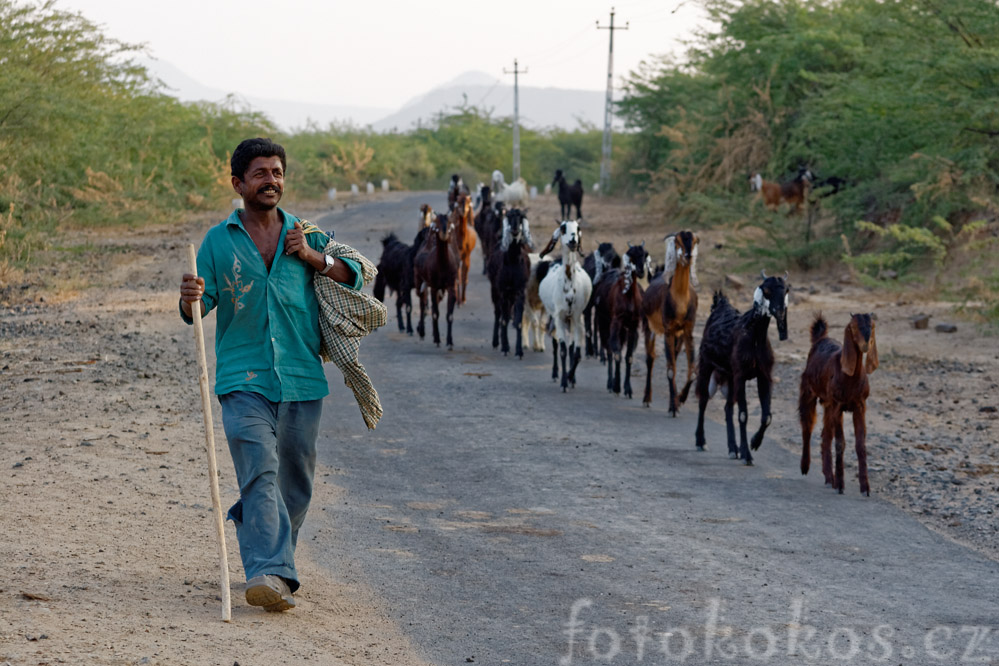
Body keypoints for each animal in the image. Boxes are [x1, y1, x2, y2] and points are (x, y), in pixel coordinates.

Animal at [544, 220, 588, 392]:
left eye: (578, 228)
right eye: (563, 228)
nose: (573, 241)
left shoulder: (577, 318)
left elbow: (576, 353)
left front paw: (570, 377)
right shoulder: (559, 317)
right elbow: (562, 350)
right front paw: (564, 381)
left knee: (571, 348)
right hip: (554, 318)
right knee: (556, 344)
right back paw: (556, 374)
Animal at [644, 231, 700, 412]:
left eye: (694, 241)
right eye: (678, 242)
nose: (688, 255)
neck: (680, 302)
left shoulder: (688, 331)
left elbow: (693, 371)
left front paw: (680, 399)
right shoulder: (668, 330)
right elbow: (670, 370)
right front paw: (673, 407)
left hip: (678, 335)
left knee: (673, 357)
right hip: (649, 326)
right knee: (650, 358)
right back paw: (647, 398)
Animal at [696, 270, 788, 462]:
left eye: (786, 290)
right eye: (766, 290)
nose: (780, 312)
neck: (754, 336)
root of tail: (720, 304)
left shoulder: (763, 375)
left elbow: (767, 416)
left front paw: (754, 443)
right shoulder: (741, 375)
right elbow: (743, 415)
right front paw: (747, 453)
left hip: (730, 376)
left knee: (728, 407)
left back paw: (733, 448)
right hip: (706, 364)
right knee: (703, 400)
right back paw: (701, 441)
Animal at [800, 312, 880, 492]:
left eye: (871, 326)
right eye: (853, 327)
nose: (866, 344)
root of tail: (820, 339)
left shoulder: (859, 405)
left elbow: (860, 444)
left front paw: (865, 487)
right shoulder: (838, 405)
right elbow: (839, 443)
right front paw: (841, 485)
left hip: (827, 404)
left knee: (825, 435)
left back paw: (829, 476)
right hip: (808, 391)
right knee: (807, 426)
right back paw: (806, 467)